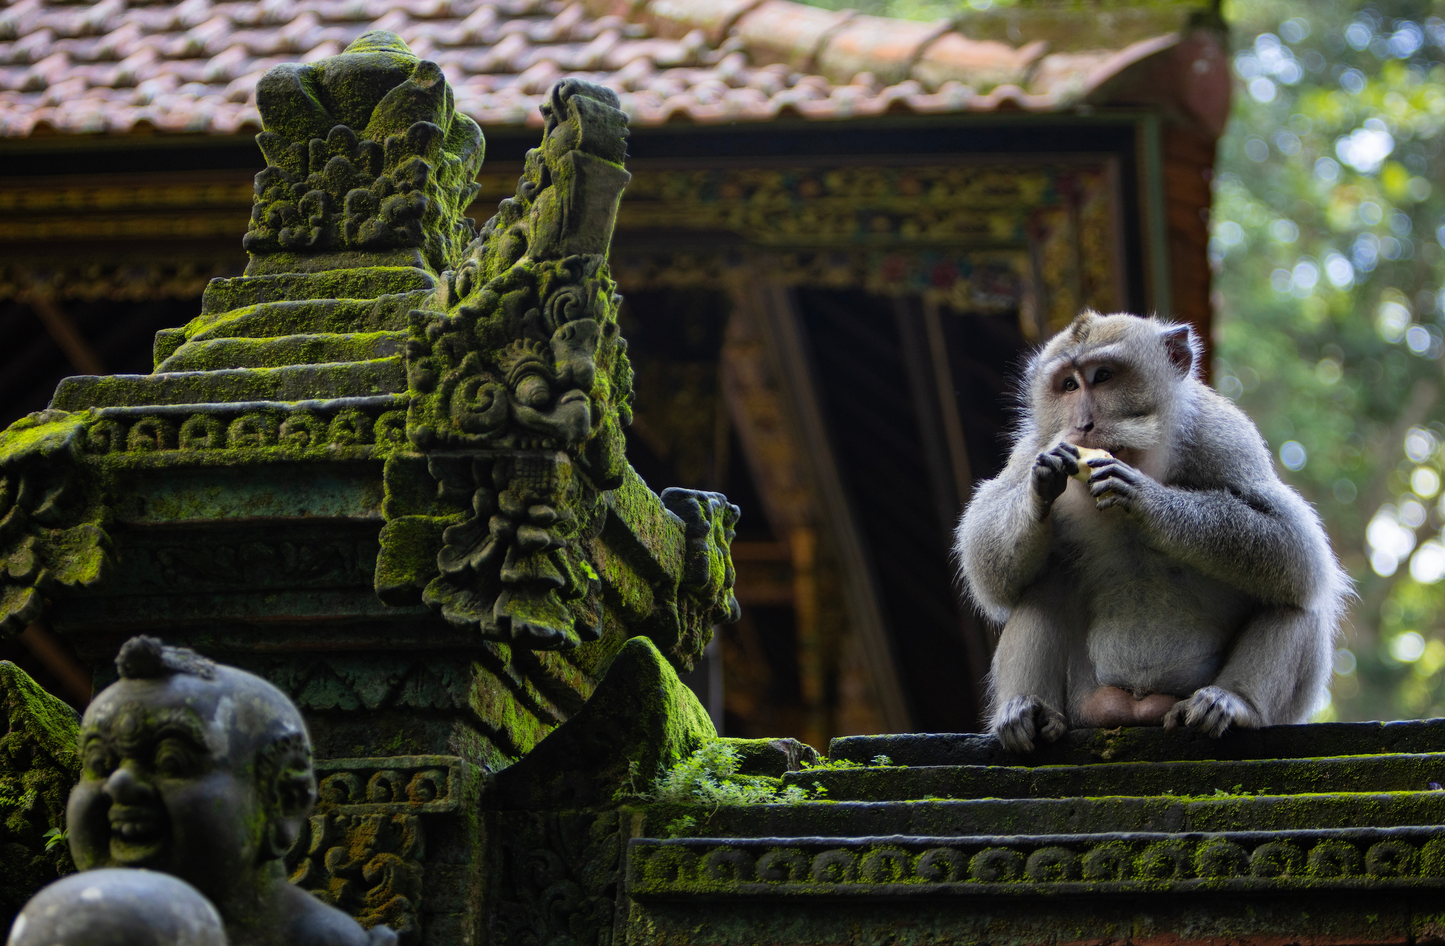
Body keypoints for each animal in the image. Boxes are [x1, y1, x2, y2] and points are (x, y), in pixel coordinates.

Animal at [954, 311, 1350, 752]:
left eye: (1103, 376)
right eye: (1069, 385)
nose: (1082, 424)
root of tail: (1137, 706)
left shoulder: (1224, 435)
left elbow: (1292, 539)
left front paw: (1145, 498)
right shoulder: (1029, 450)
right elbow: (986, 560)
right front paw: (1040, 484)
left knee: (1296, 594)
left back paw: (1234, 703)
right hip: (1084, 699)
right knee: (1039, 589)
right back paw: (1031, 712)